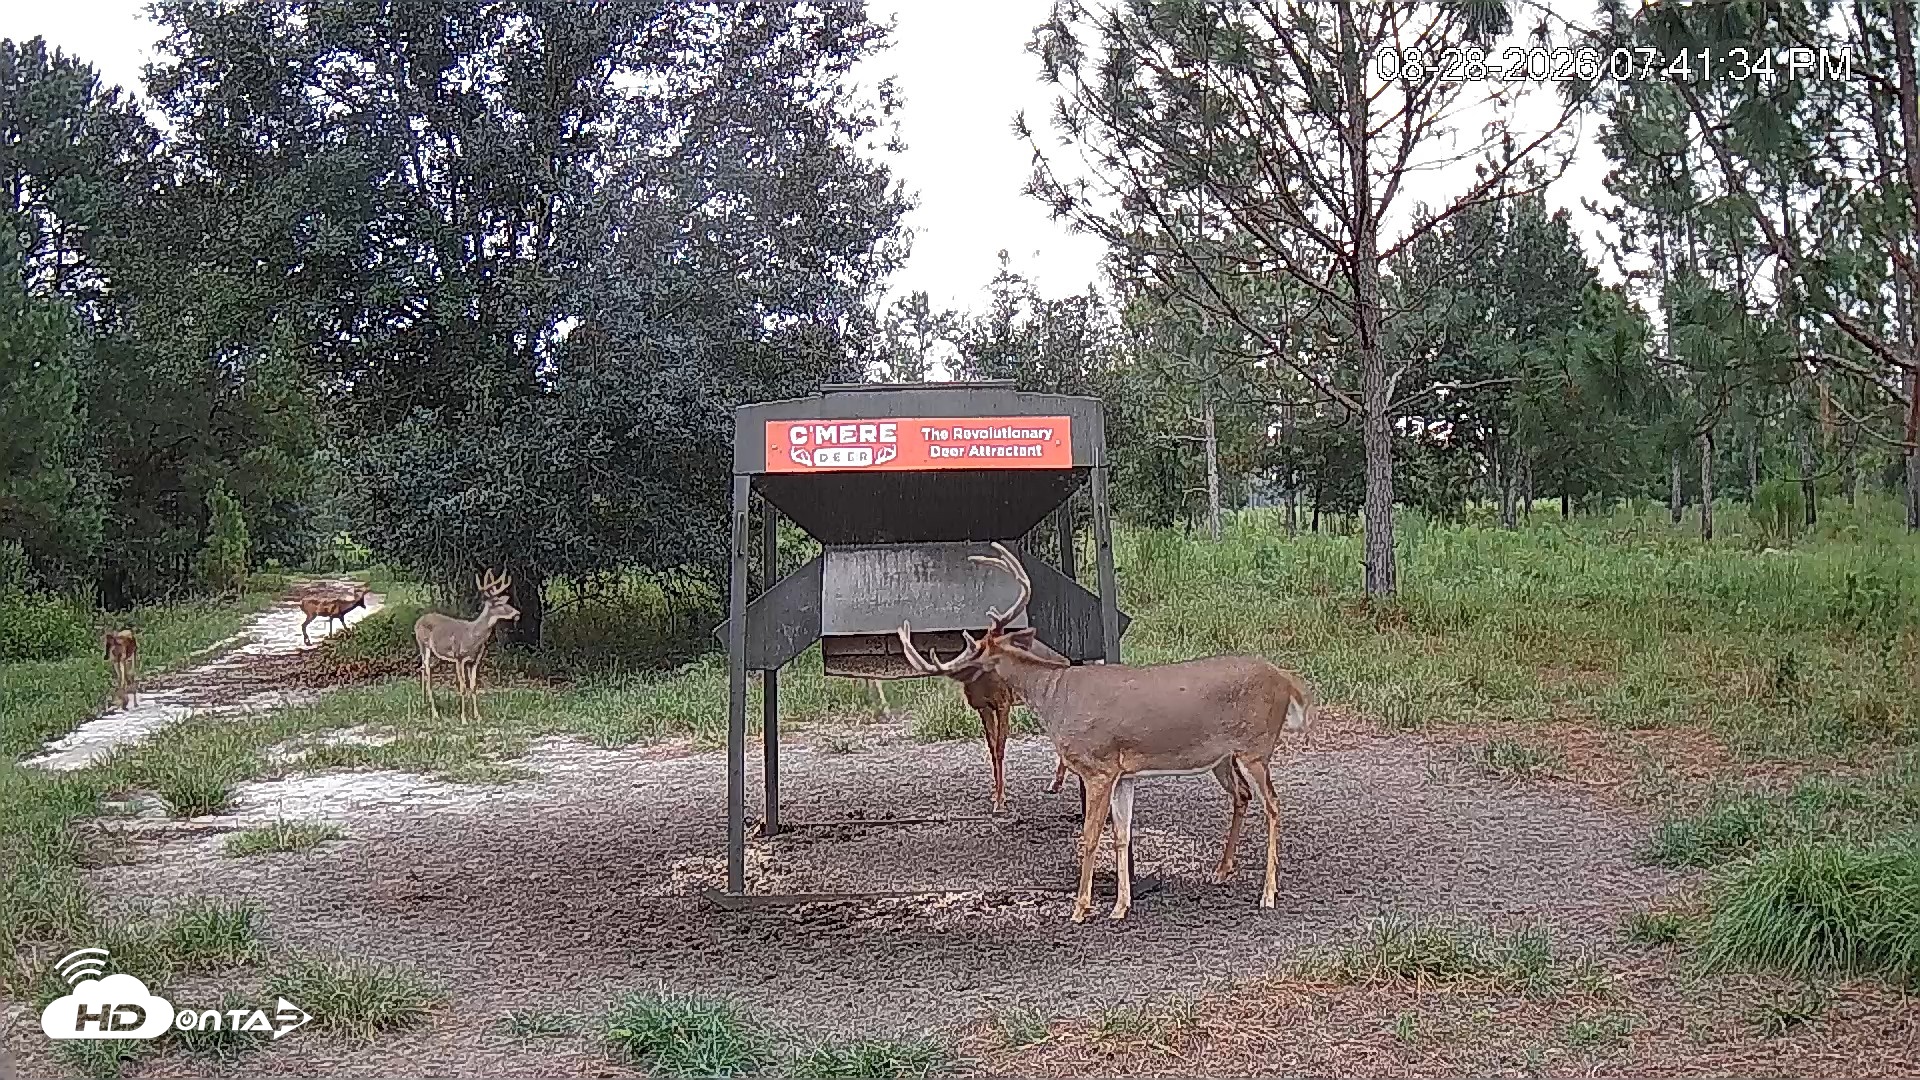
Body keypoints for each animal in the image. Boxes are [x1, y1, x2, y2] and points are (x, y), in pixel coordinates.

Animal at [413, 569, 520, 722]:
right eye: (499, 603)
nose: (517, 613)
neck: (473, 637)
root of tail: (418, 621)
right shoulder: (459, 657)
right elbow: (463, 687)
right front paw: (463, 718)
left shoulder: (475, 660)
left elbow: (473, 686)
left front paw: (477, 716)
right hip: (423, 644)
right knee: (427, 671)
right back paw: (435, 713)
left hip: (435, 654)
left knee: (423, 670)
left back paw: (424, 703)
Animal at [898, 542, 1313, 923]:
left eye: (976, 656)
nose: (956, 676)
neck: (1055, 698)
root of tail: (1286, 679)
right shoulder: (1124, 773)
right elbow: (1122, 835)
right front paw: (1120, 906)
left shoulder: (1097, 767)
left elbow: (1090, 836)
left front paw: (1080, 907)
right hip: (1223, 758)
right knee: (1244, 796)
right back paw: (1221, 870)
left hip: (1256, 747)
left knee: (1274, 804)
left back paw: (1268, 894)